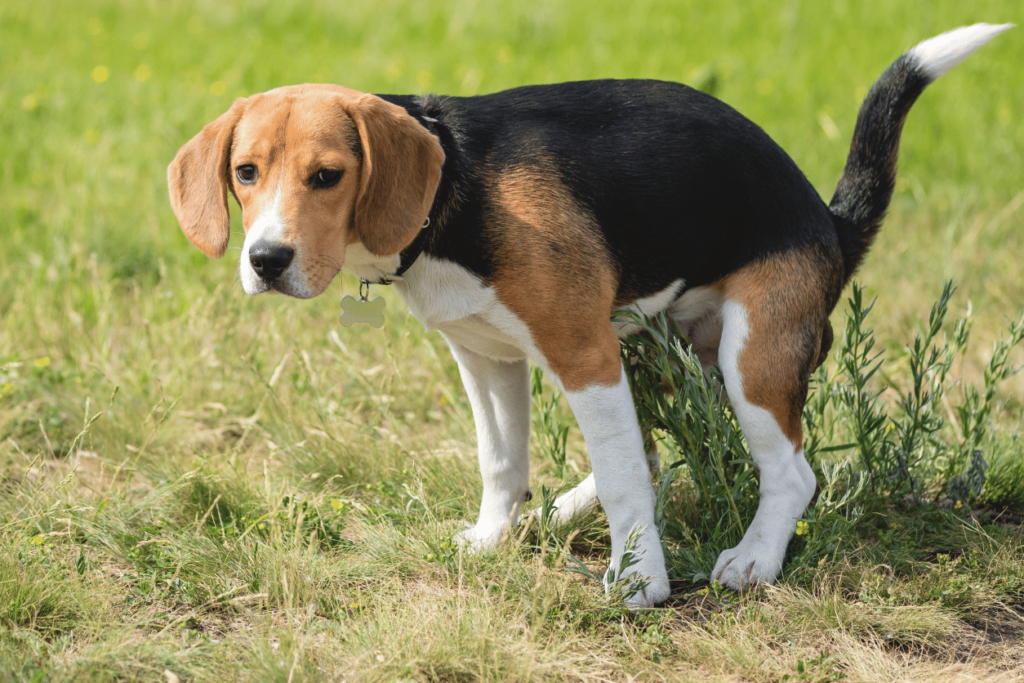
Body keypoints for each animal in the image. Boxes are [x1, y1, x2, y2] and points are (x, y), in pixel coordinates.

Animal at [167, 22, 1007, 610]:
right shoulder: (487, 357)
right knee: (650, 451)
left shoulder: (582, 353)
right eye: (246, 172)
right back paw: (566, 509)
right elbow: (502, 461)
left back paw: (754, 558)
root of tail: (830, 222)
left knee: (788, 472)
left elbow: (626, 477)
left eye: (328, 176)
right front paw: (493, 536)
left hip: (749, 354)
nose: (266, 259)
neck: (454, 190)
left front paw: (640, 583)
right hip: (654, 353)